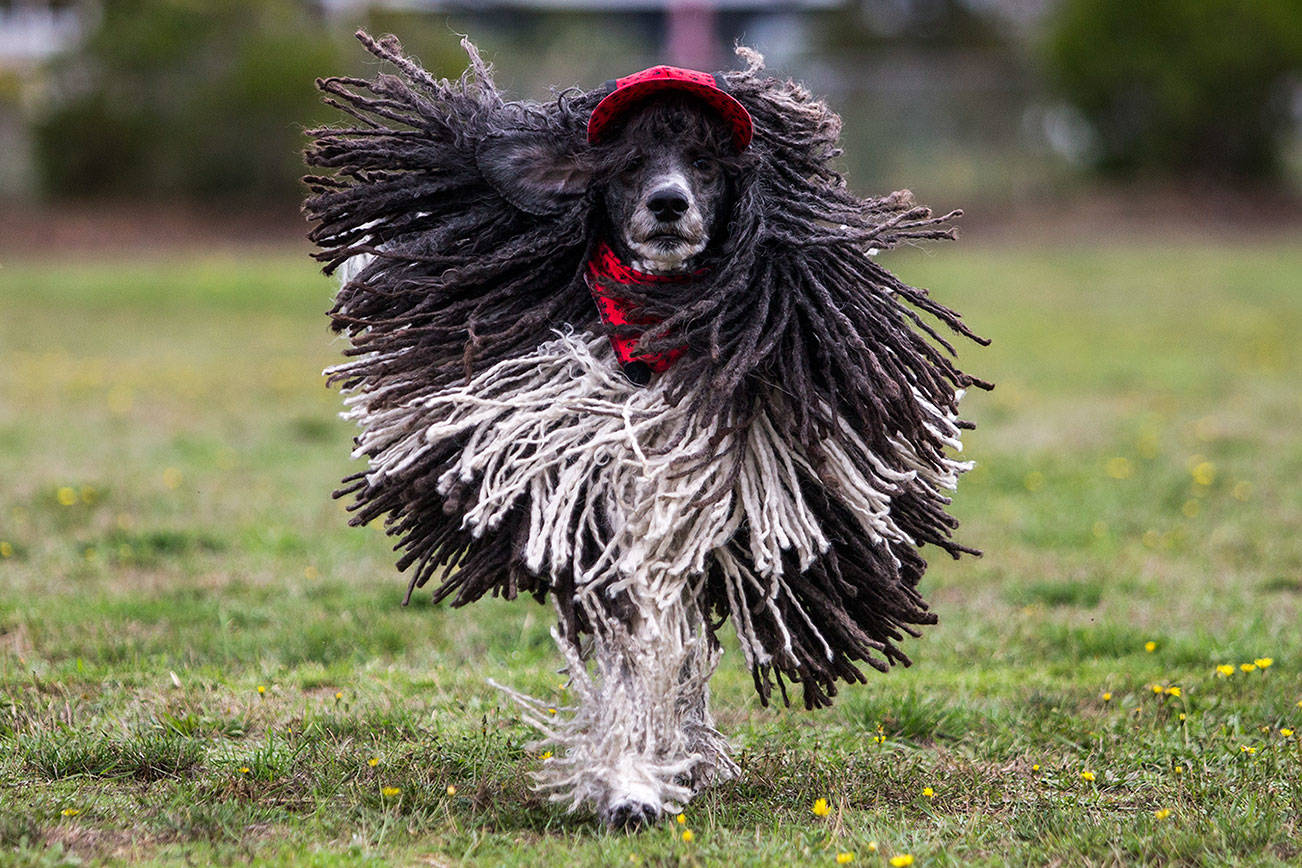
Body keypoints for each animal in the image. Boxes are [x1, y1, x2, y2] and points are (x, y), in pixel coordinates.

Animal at [307, 33, 984, 832]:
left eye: (707, 164)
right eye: (629, 164)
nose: (669, 202)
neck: (656, 323)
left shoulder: (689, 502)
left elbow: (668, 641)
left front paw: (651, 767)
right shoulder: (596, 501)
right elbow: (635, 641)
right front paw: (629, 779)